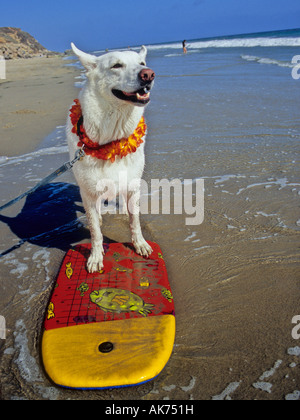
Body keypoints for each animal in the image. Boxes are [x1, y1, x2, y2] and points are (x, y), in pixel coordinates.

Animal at [67, 42, 156, 272]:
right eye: (116, 65)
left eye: (142, 63)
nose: (148, 74)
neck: (112, 139)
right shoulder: (89, 192)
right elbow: (95, 232)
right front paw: (96, 256)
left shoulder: (132, 184)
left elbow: (135, 222)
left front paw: (139, 244)